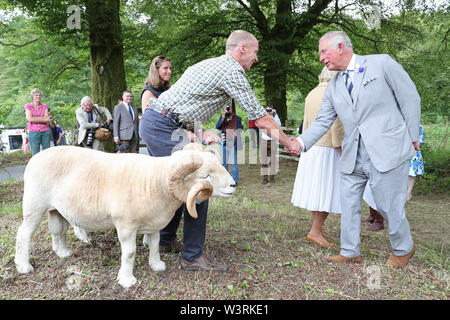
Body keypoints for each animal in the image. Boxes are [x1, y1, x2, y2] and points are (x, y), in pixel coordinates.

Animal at [14, 143, 236, 288]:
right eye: (205, 176)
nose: (233, 185)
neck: (154, 182)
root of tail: (35, 157)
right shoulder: (126, 226)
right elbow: (129, 253)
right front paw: (127, 280)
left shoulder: (154, 225)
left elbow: (155, 245)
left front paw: (157, 265)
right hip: (34, 206)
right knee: (24, 234)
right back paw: (23, 266)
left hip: (56, 210)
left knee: (57, 230)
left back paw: (62, 253)